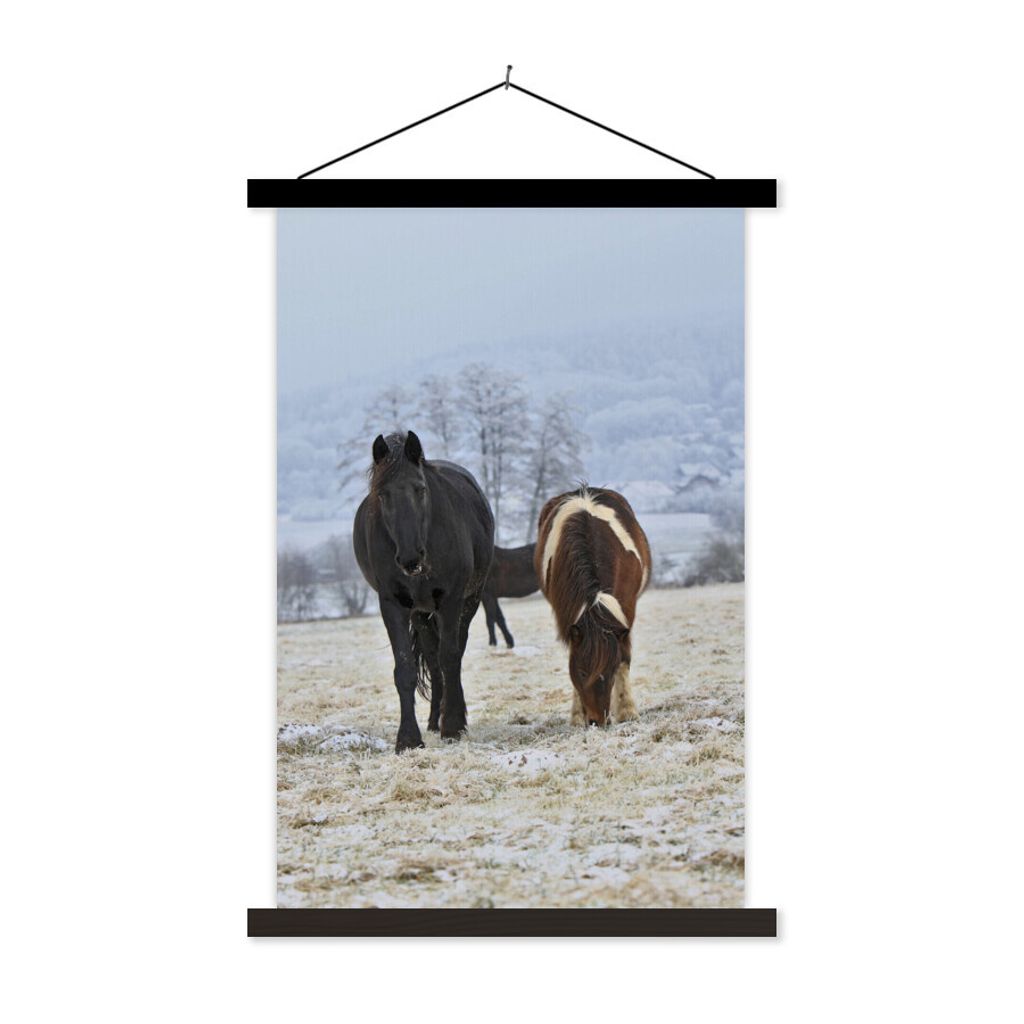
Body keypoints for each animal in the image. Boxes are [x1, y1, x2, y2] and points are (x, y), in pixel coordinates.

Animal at [353, 431, 494, 752]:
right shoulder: (393, 604)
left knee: (452, 655)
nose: (410, 557)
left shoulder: (451, 600)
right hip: (421, 612)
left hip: (469, 601)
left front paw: (452, 726)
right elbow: (405, 668)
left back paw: (452, 717)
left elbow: (450, 658)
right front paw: (408, 738)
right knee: (431, 657)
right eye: (383, 494)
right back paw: (432, 720)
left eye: (420, 489)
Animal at [535, 486, 651, 727]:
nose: (598, 721)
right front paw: (577, 716)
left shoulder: (626, 610)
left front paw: (627, 711)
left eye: (610, 670)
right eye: (580, 672)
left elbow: (625, 657)